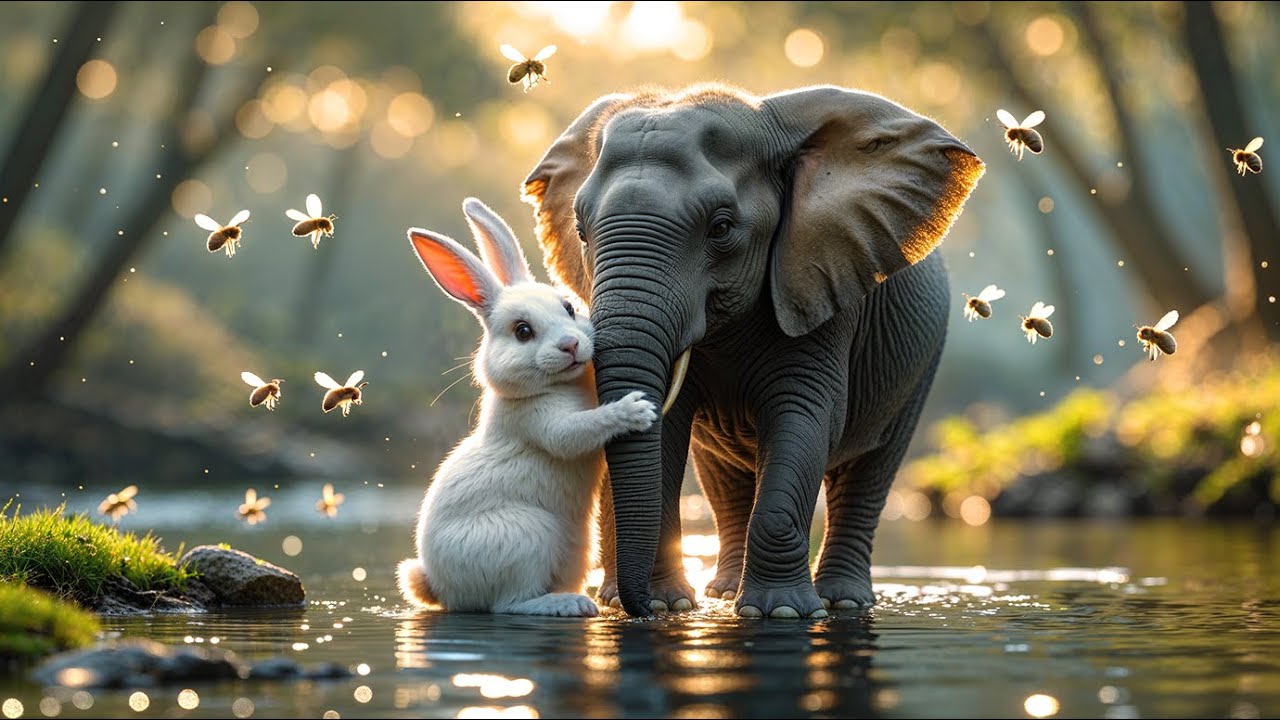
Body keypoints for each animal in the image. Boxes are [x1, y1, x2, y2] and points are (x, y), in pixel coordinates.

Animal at [396, 197, 657, 617]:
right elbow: (579, 430)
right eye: (522, 331)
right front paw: (635, 410)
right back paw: (569, 605)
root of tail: (437, 585)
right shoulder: (541, 423)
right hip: (528, 537)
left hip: (575, 550)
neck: (561, 385)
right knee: (510, 603)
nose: (570, 345)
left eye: (568, 307)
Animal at [521, 83, 984, 619]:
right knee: (725, 480)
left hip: (921, 365)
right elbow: (668, 426)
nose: (636, 609)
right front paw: (667, 606)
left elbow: (805, 417)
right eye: (580, 230)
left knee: (870, 473)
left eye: (720, 228)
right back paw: (722, 593)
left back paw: (844, 602)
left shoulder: (821, 287)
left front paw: (780, 612)